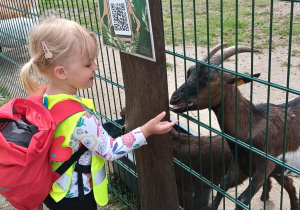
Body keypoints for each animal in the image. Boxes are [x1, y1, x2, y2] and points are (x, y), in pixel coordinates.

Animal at [170, 43, 298, 210]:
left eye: (210, 78)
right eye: (189, 72)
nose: (174, 98)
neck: (253, 125)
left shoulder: (264, 167)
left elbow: (242, 199)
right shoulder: (239, 164)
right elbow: (223, 184)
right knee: (289, 183)